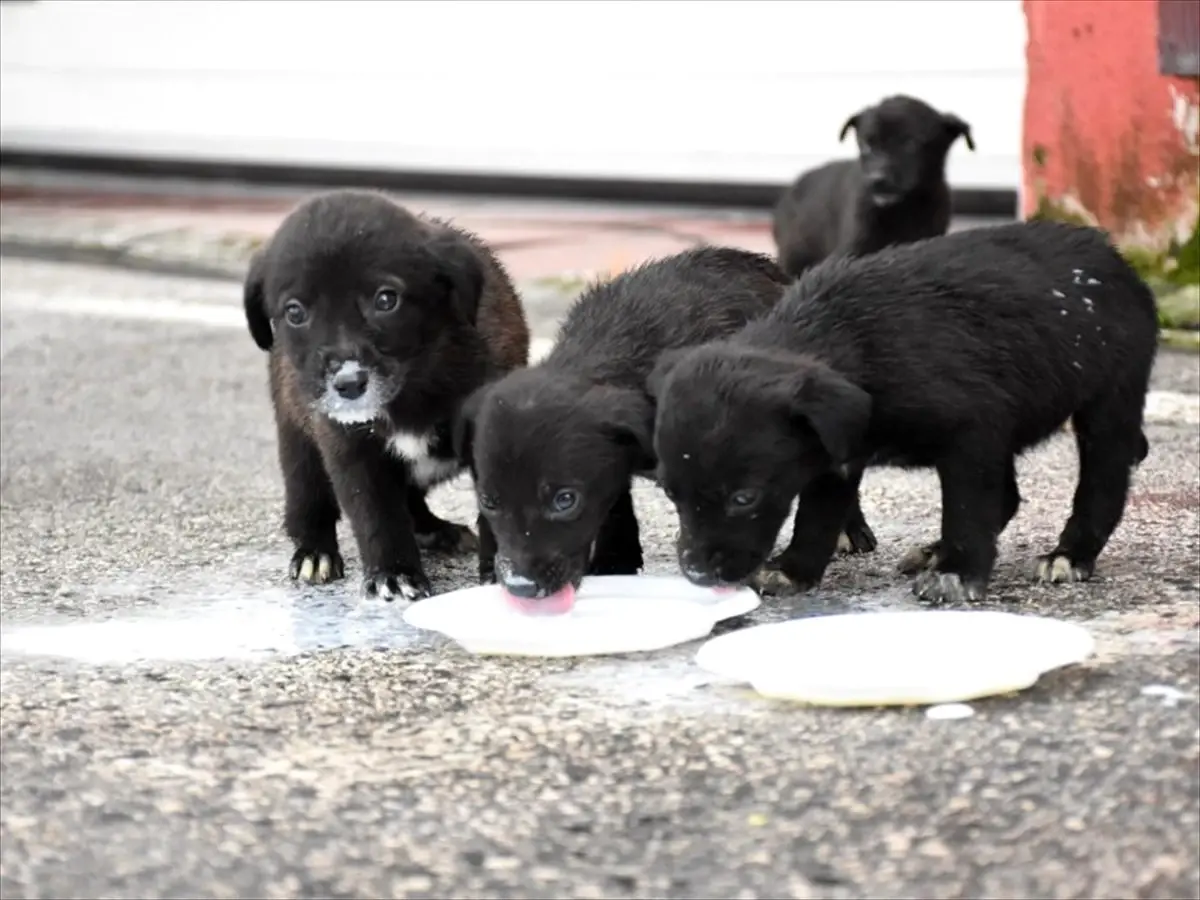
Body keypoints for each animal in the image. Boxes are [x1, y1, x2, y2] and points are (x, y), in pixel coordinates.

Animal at [241, 187, 528, 602]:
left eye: (385, 300)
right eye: (295, 312)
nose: (347, 384)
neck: (415, 384)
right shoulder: (348, 445)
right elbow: (376, 514)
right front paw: (394, 573)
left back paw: (434, 529)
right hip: (296, 437)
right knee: (307, 501)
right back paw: (314, 553)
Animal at [652, 220, 1156, 607]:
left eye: (745, 498)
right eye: (670, 494)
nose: (696, 574)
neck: (849, 337)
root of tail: (1113, 255)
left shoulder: (972, 433)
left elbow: (968, 509)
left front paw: (959, 572)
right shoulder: (835, 454)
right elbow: (817, 515)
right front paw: (795, 569)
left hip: (1110, 399)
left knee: (1102, 483)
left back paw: (1070, 555)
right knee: (1009, 496)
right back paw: (936, 550)